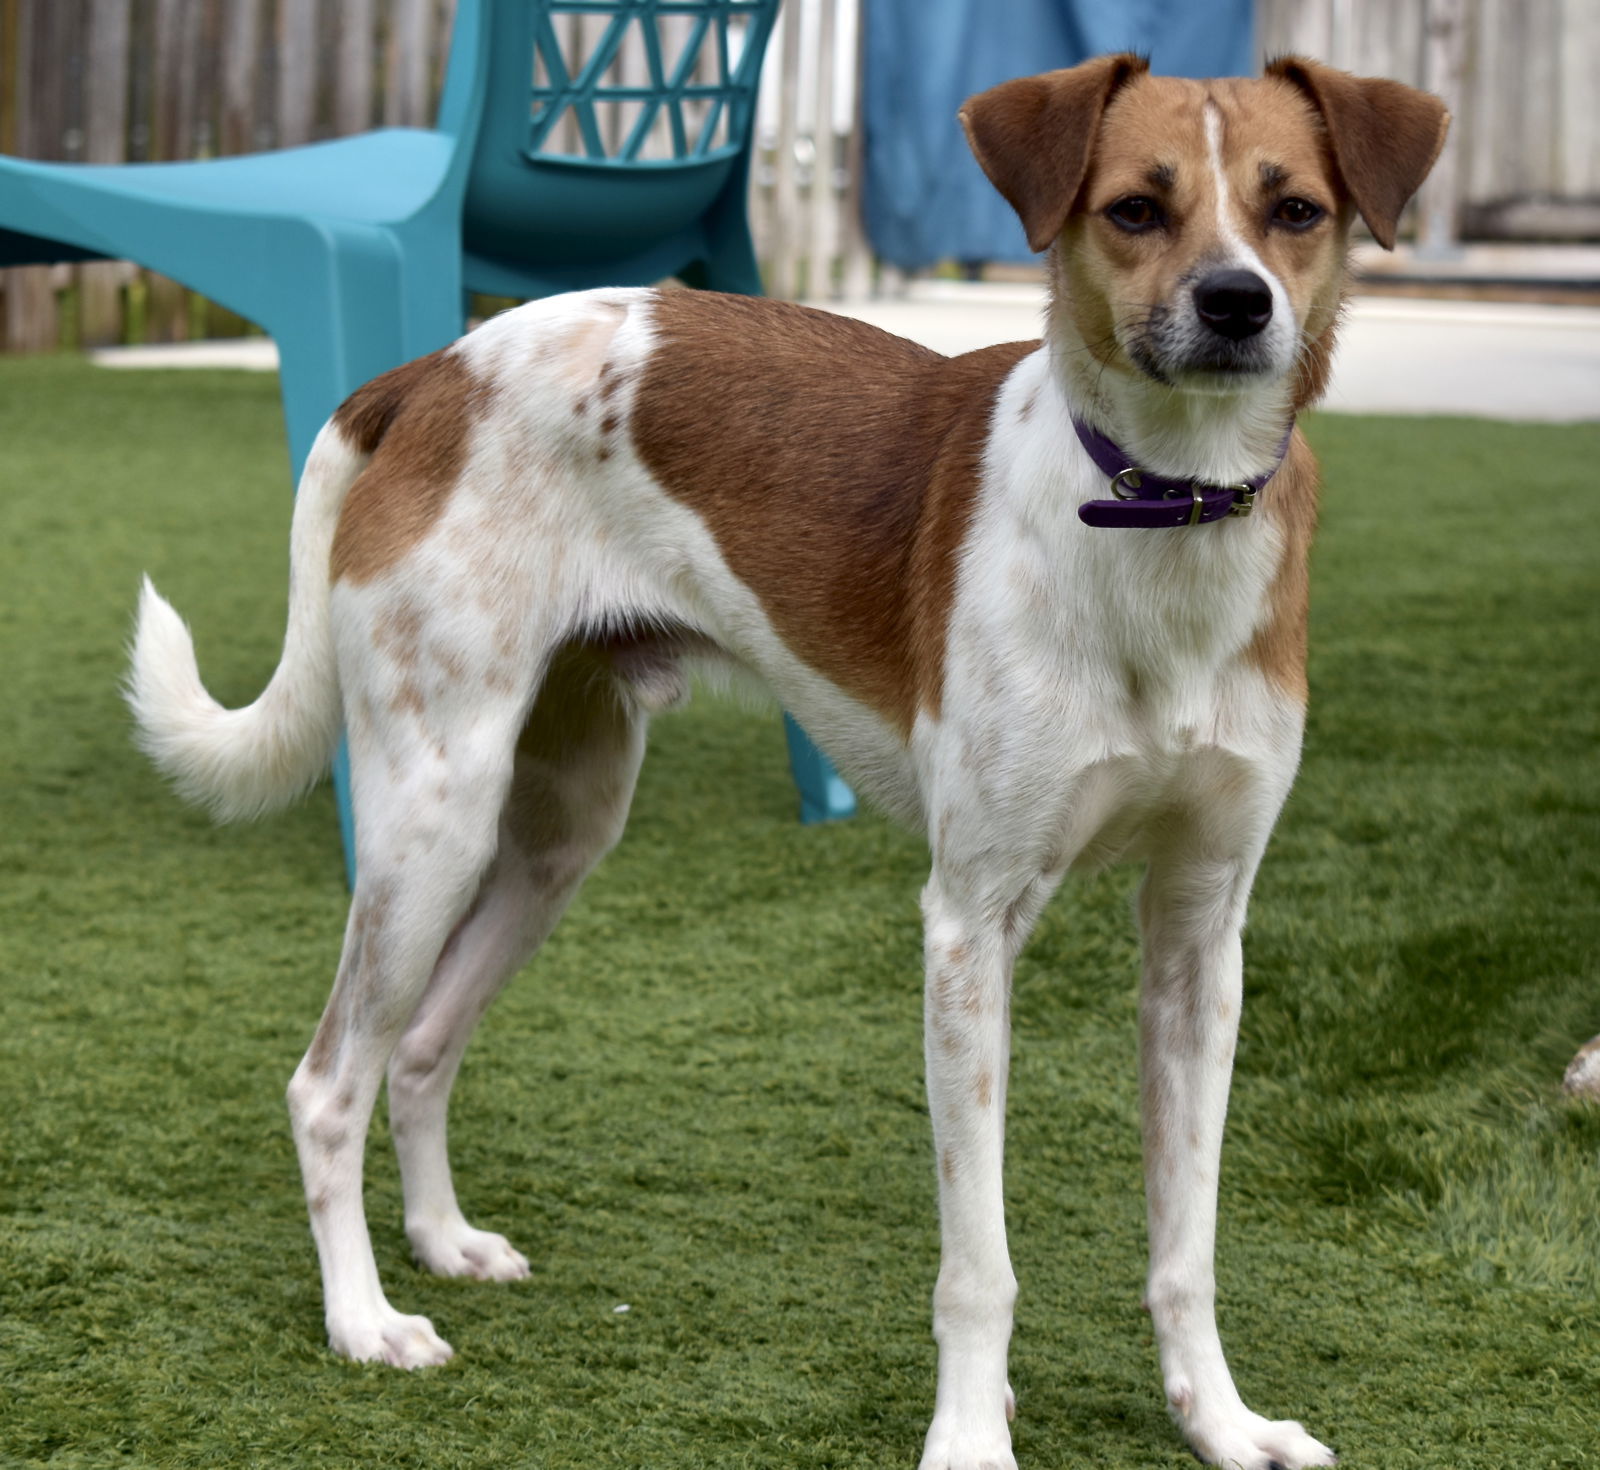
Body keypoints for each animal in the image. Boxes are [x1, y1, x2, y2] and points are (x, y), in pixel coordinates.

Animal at [124, 54, 1452, 1470]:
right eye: (1136, 210)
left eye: (1295, 209)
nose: (1235, 303)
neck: (1161, 513)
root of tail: (434, 370)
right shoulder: (969, 926)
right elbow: (978, 1265)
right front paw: (971, 1437)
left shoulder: (1201, 939)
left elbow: (1186, 1243)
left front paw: (1218, 1421)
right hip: (437, 815)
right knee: (327, 1083)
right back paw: (364, 1321)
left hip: (559, 830)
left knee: (420, 1048)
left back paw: (439, 1243)